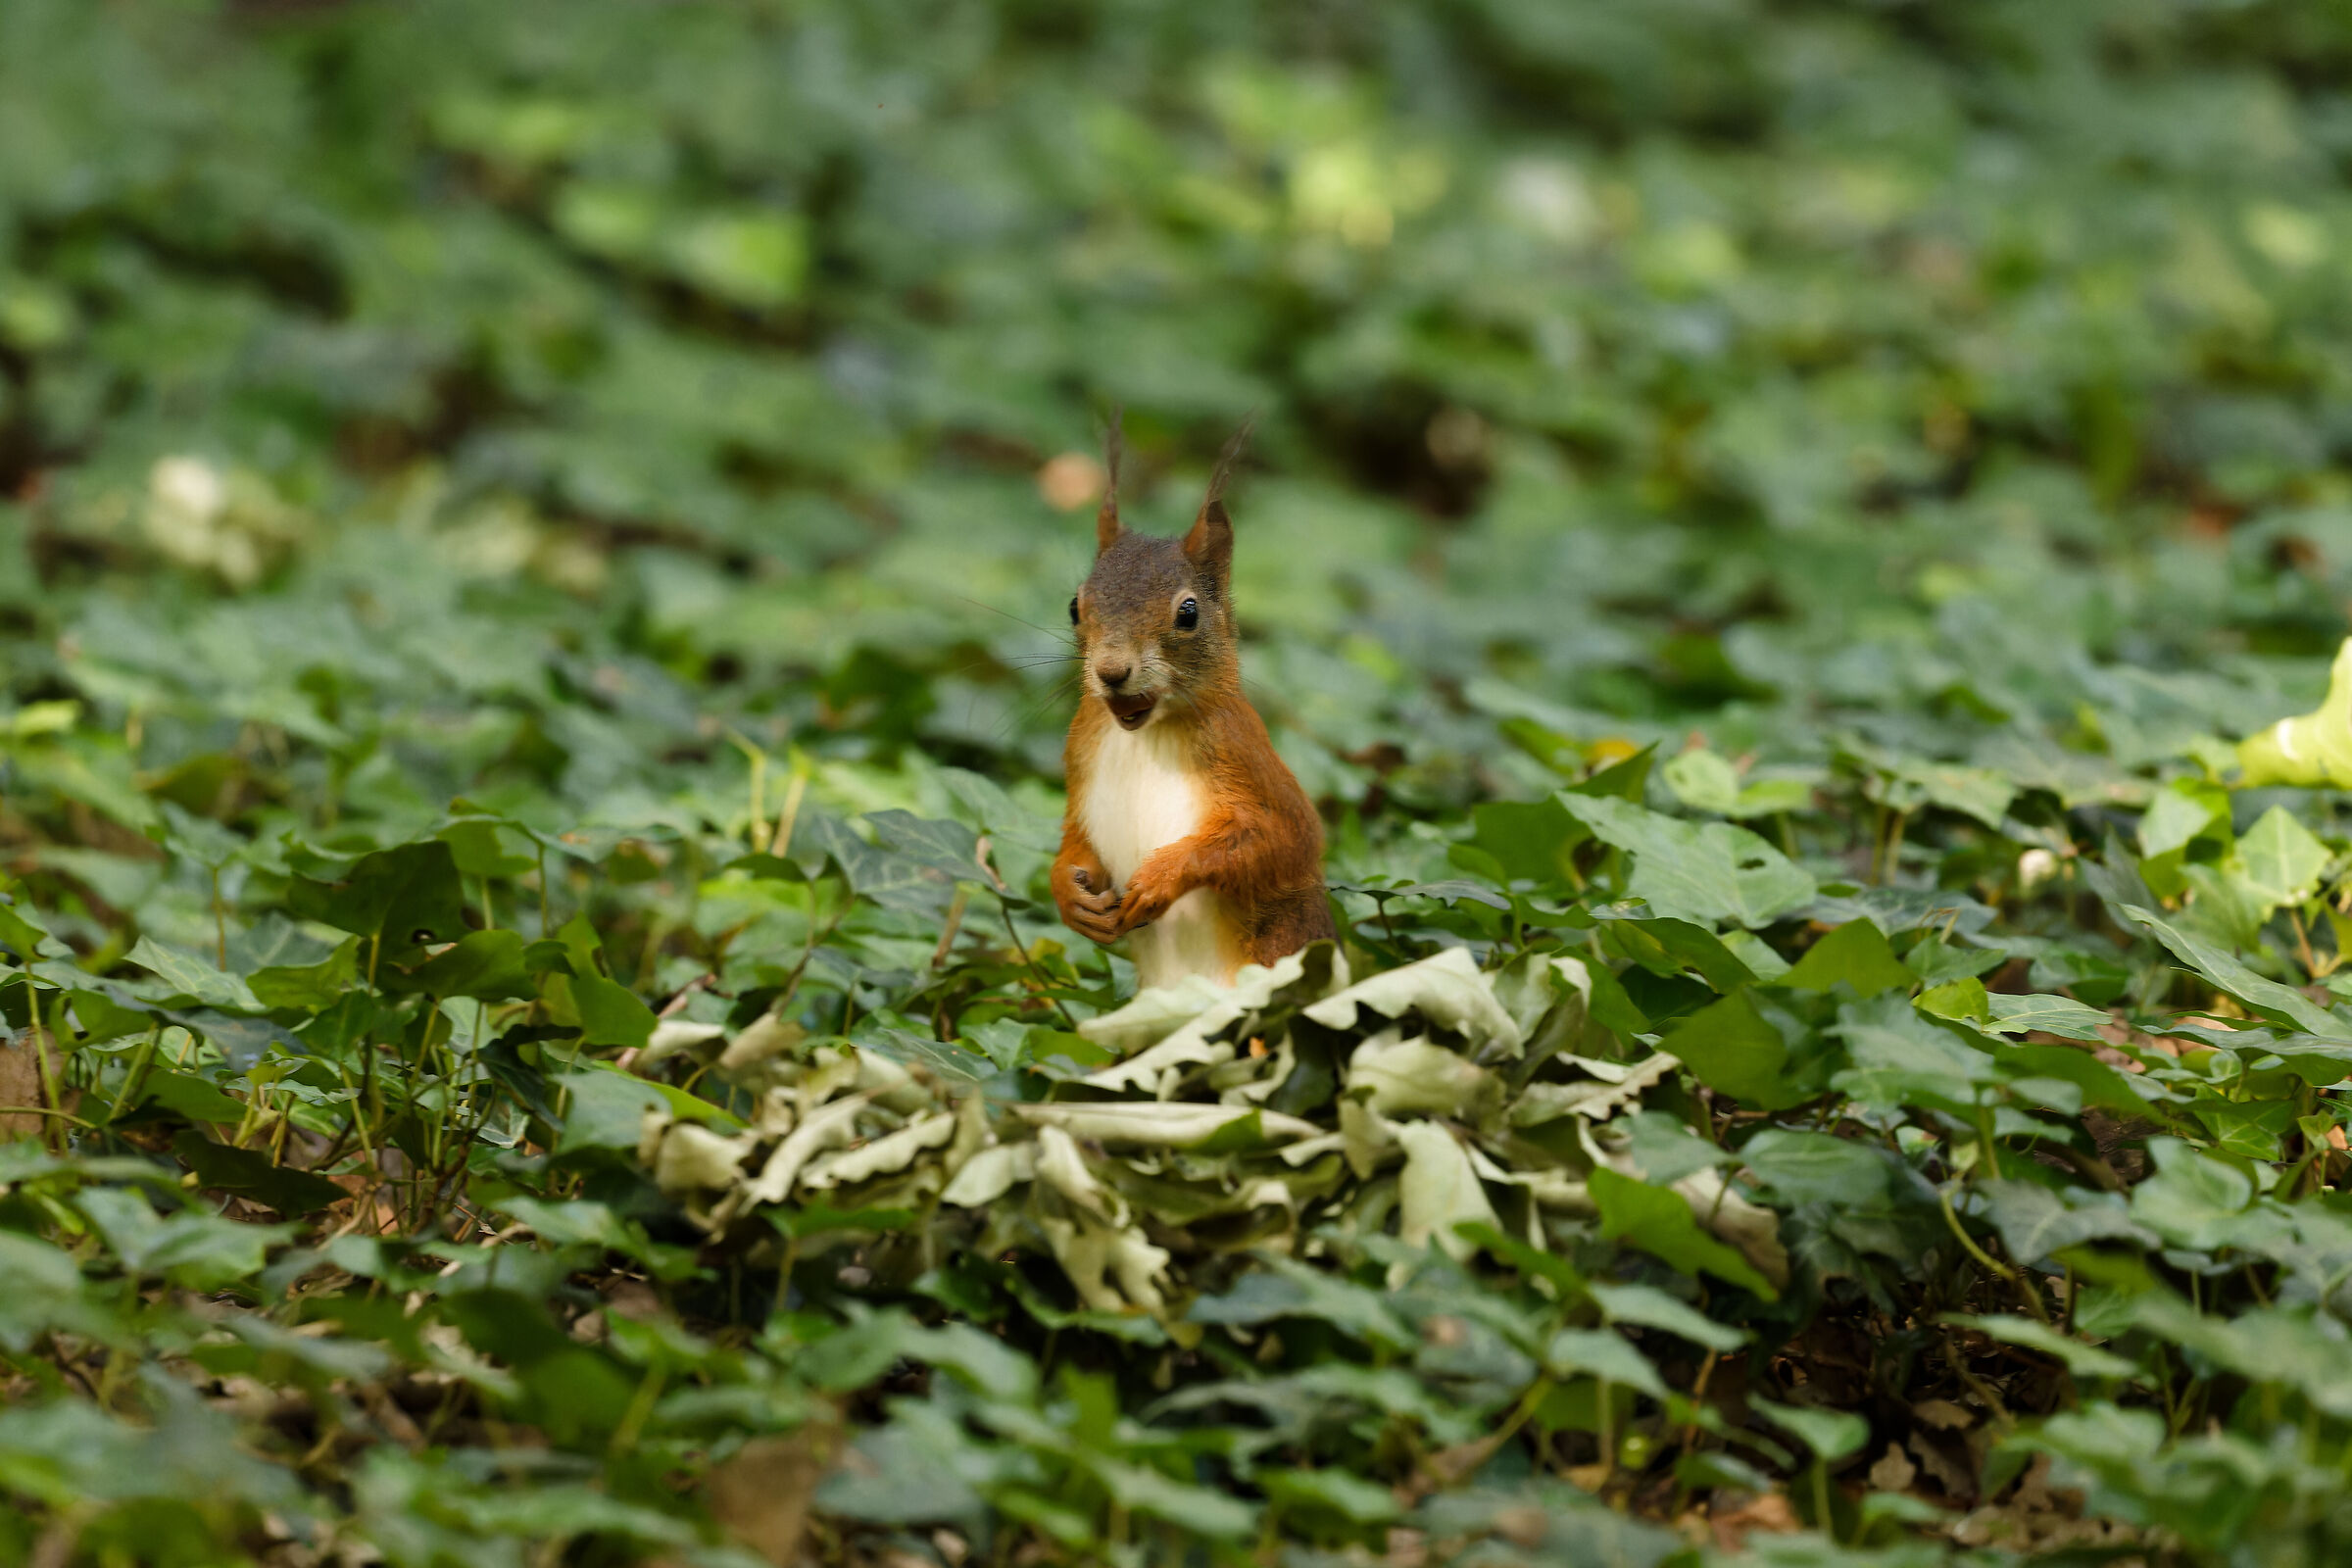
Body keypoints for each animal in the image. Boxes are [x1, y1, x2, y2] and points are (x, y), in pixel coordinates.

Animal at [1049, 419, 1337, 990]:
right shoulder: (1079, 753)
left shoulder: (1245, 757)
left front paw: (1162, 877)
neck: (1147, 732)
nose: (1111, 672)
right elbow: (1075, 835)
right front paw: (1068, 893)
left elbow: (1284, 840)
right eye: (1074, 606)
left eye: (1188, 613)